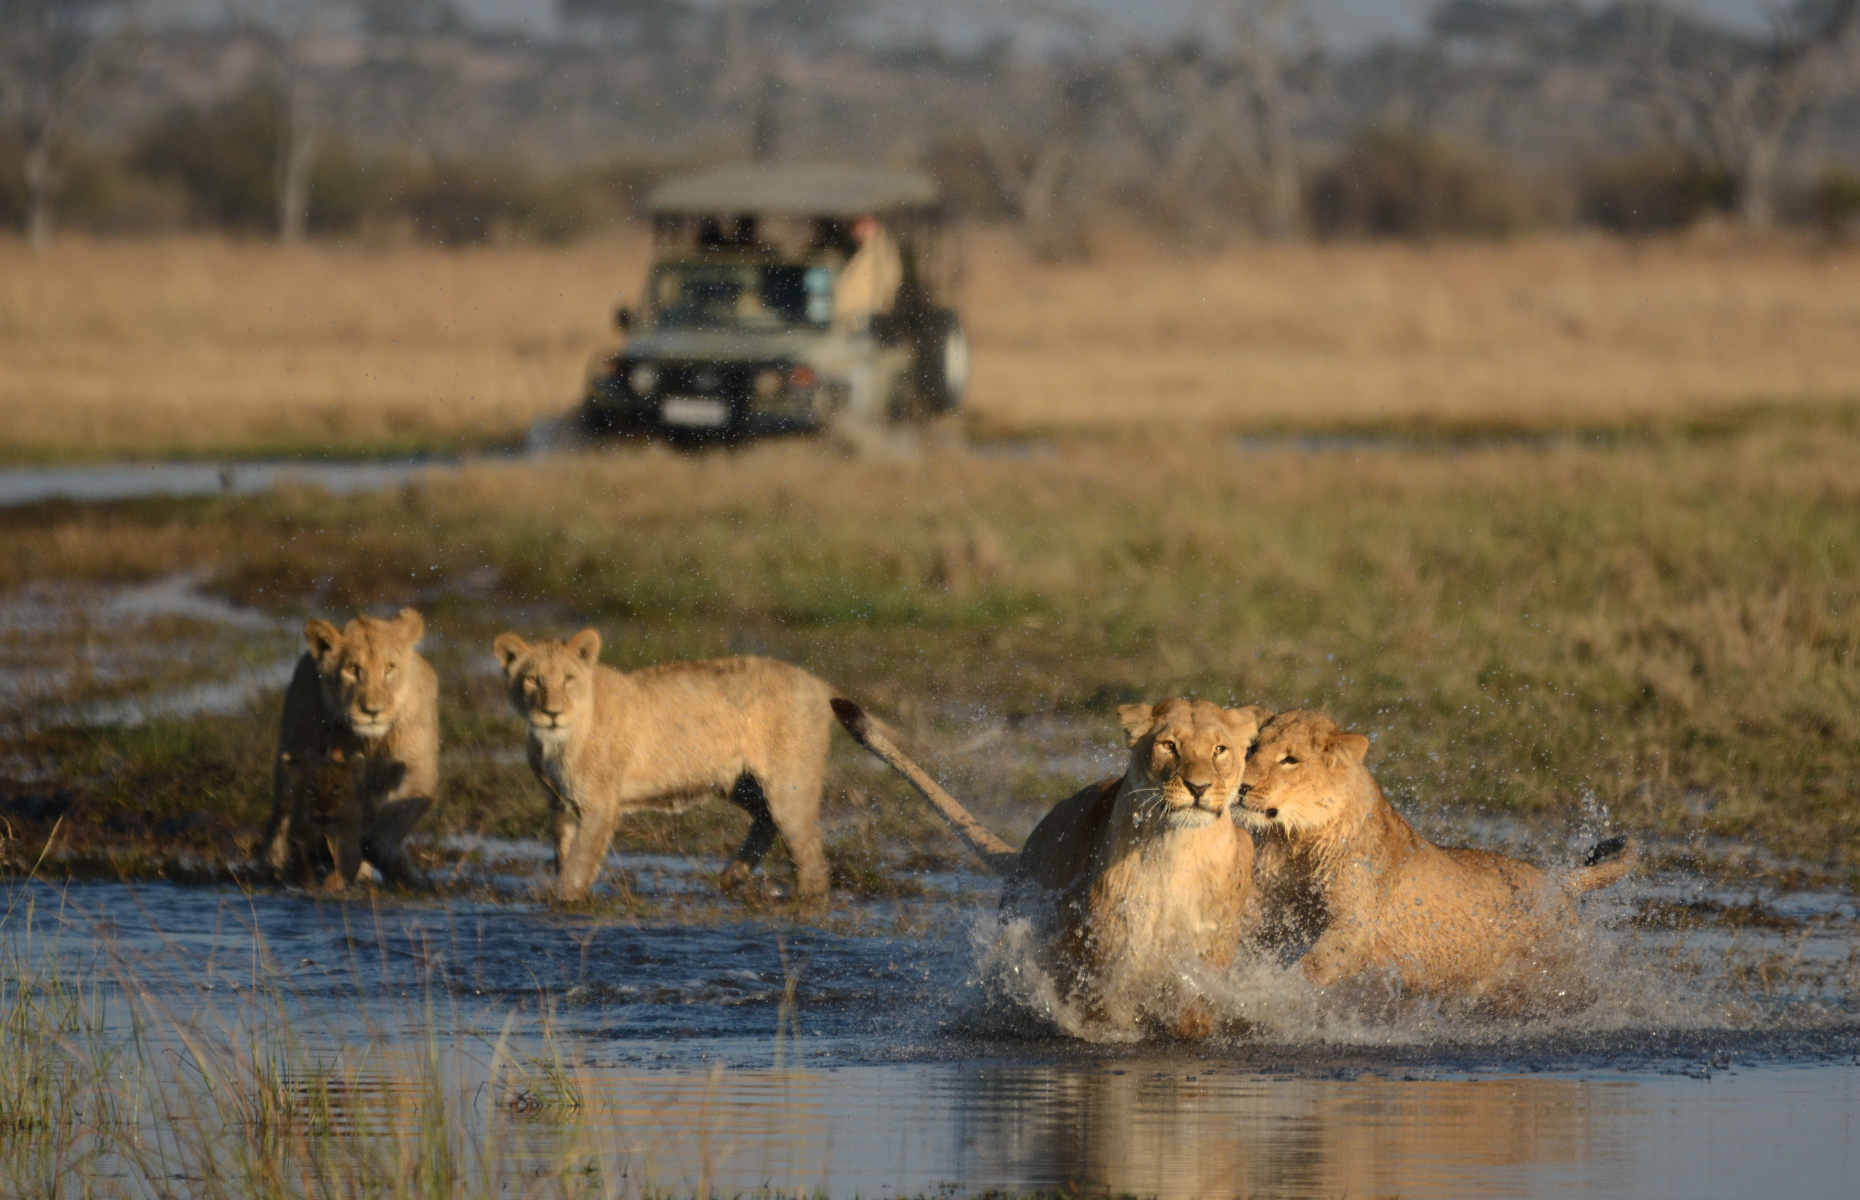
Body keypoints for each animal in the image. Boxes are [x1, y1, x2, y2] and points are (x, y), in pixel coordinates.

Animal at [262, 610, 438, 889]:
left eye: (390, 668)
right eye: (353, 669)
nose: (372, 711)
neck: (372, 741)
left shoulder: (419, 768)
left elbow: (396, 815)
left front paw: (397, 867)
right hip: (293, 747)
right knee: (283, 807)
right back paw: (275, 862)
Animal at [494, 632, 844, 904]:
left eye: (568, 679)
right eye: (532, 679)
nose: (551, 713)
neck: (555, 743)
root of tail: (819, 684)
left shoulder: (600, 806)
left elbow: (579, 862)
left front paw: (563, 899)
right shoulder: (559, 803)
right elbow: (564, 854)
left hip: (790, 786)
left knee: (810, 857)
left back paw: (804, 898)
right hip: (739, 783)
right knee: (766, 820)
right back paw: (731, 876)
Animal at [840, 692, 1264, 1041]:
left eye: (1220, 749)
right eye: (1169, 746)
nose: (1198, 788)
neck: (1179, 849)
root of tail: (1030, 843)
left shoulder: (1206, 956)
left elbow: (1195, 1012)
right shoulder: (1106, 955)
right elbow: (1105, 1014)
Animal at [1242, 706, 1636, 1004]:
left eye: (1290, 760)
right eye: (1251, 749)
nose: (1241, 787)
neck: (1296, 840)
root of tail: (1556, 881)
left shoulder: (1354, 926)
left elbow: (1310, 969)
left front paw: (1270, 993)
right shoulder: (1269, 912)